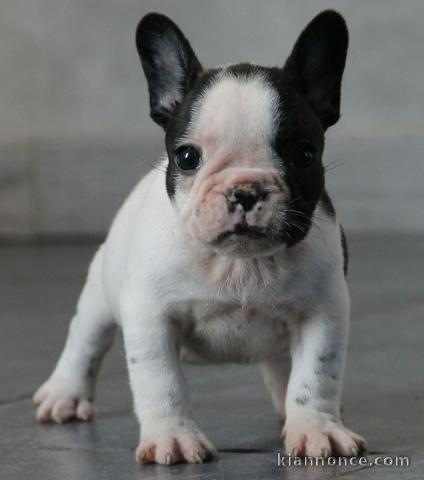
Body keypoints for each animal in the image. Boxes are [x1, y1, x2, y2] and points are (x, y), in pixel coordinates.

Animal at [33, 8, 366, 464]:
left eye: (303, 155)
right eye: (188, 157)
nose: (245, 190)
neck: (240, 264)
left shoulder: (323, 312)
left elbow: (315, 375)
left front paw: (316, 427)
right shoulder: (151, 317)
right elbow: (162, 383)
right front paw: (173, 437)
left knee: (283, 364)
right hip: (100, 295)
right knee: (85, 340)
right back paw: (64, 394)